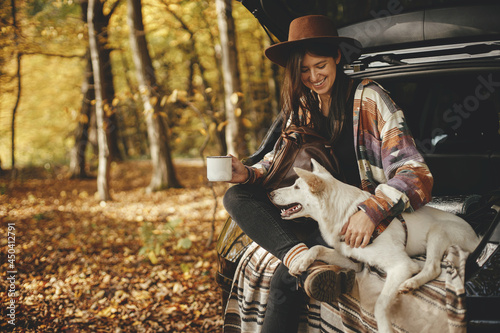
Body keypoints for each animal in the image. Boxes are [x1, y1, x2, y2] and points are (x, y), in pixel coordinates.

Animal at [270, 158, 480, 332]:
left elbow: (380, 304)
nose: (270, 192)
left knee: (433, 267)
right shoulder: (354, 262)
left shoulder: (401, 265)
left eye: (296, 186)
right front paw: (301, 261)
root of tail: (478, 238)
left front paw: (385, 328)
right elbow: (317, 248)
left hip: (437, 231)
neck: (346, 214)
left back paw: (411, 282)